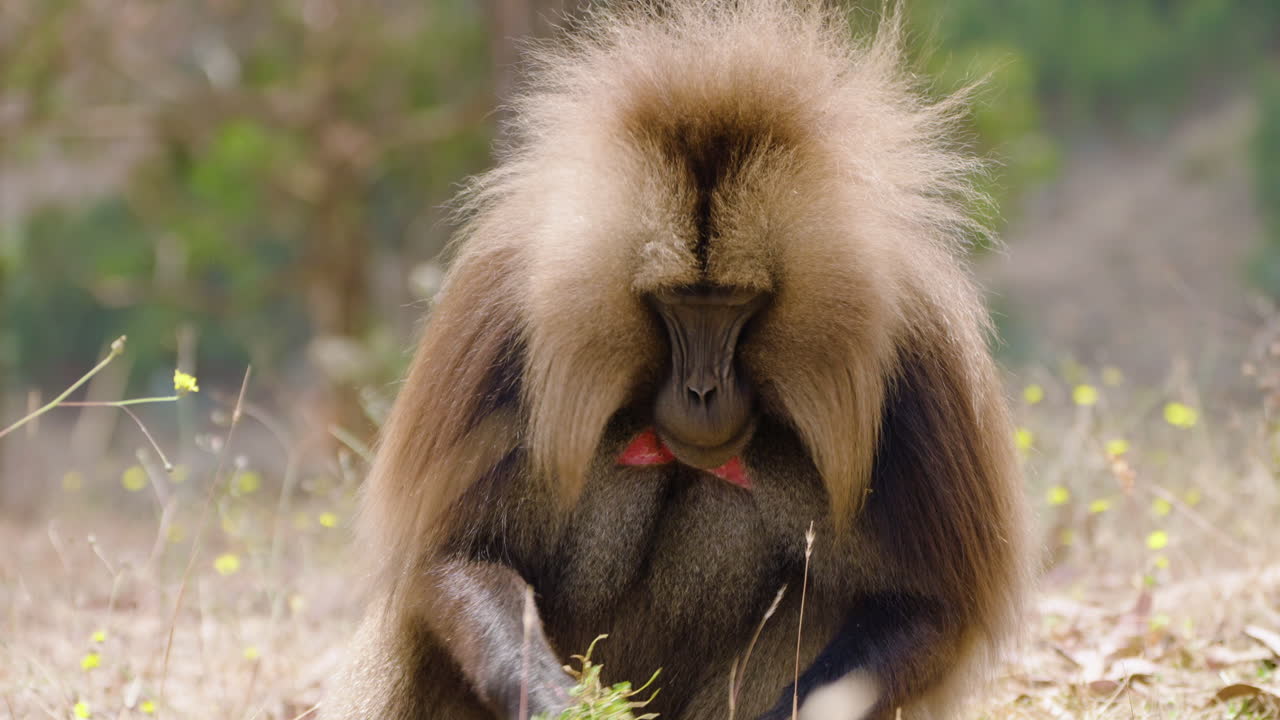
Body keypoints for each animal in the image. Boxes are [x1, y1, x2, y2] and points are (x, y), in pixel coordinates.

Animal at [323, 1, 1031, 719]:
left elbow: (926, 607)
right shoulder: (496, 325)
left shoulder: (921, 357)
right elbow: (451, 555)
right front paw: (551, 694)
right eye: (675, 303)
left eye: (736, 304)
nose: (701, 393)